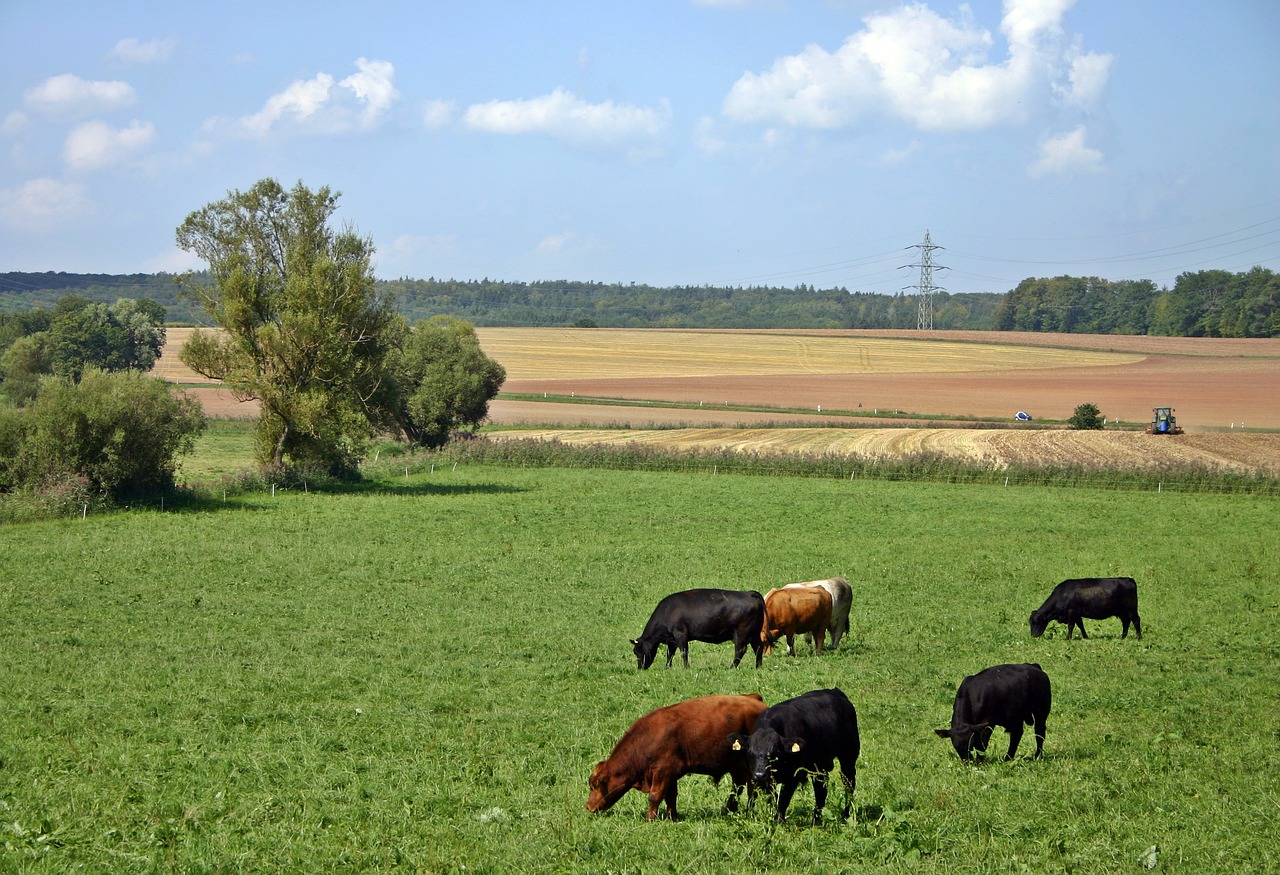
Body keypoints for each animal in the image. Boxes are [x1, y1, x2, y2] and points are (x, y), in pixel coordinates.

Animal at [586, 690, 762, 818]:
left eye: (595, 786)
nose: (588, 807)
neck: (647, 739)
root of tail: (754, 698)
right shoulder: (670, 774)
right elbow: (670, 796)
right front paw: (672, 817)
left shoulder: (663, 771)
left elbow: (655, 796)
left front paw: (650, 818)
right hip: (737, 766)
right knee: (738, 787)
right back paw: (731, 809)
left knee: (751, 788)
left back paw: (748, 811)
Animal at [627, 588, 757, 670]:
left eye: (638, 651)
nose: (640, 668)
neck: (667, 612)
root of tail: (749, 593)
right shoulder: (671, 639)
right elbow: (670, 654)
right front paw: (667, 667)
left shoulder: (680, 634)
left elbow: (684, 652)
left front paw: (686, 668)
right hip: (754, 635)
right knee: (758, 648)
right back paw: (758, 667)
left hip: (741, 634)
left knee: (740, 650)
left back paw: (731, 668)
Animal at [732, 685, 860, 823]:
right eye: (750, 752)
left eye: (775, 753)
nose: (760, 775)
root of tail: (836, 691)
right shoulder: (755, 775)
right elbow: (759, 798)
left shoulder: (793, 775)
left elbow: (783, 800)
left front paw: (779, 822)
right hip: (819, 765)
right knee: (821, 789)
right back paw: (816, 821)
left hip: (848, 756)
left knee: (849, 784)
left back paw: (846, 815)